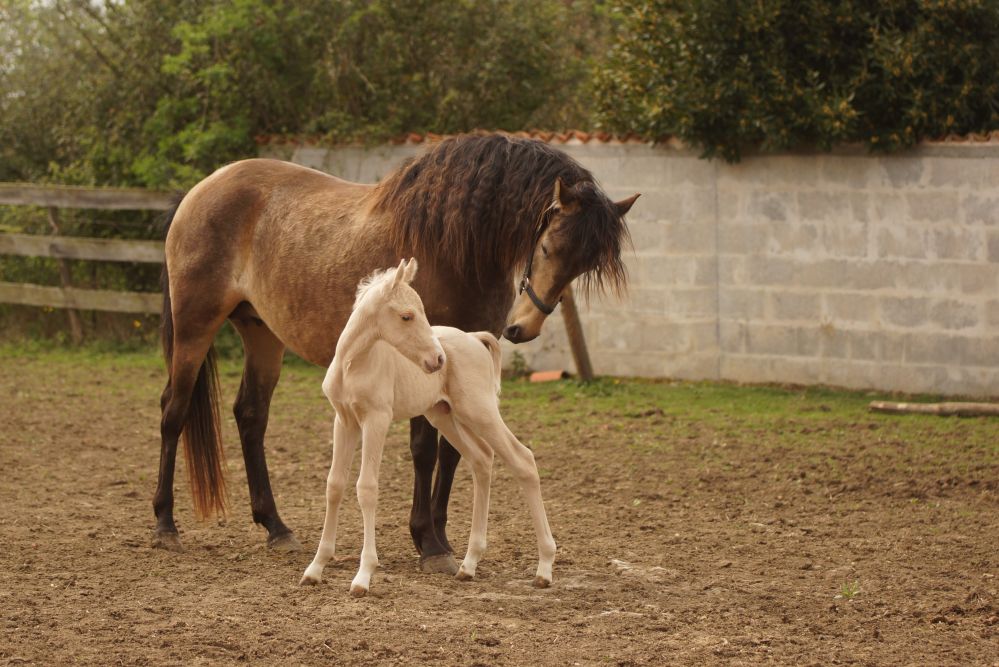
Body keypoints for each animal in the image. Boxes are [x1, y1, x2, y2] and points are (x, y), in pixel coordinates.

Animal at [300, 259, 557, 596]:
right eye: (406, 315)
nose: (437, 359)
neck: (353, 364)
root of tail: (475, 338)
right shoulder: (344, 420)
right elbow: (334, 485)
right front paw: (315, 569)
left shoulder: (376, 419)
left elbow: (366, 487)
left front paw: (363, 576)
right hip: (444, 415)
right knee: (482, 459)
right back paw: (468, 565)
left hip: (480, 410)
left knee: (522, 459)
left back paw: (544, 568)